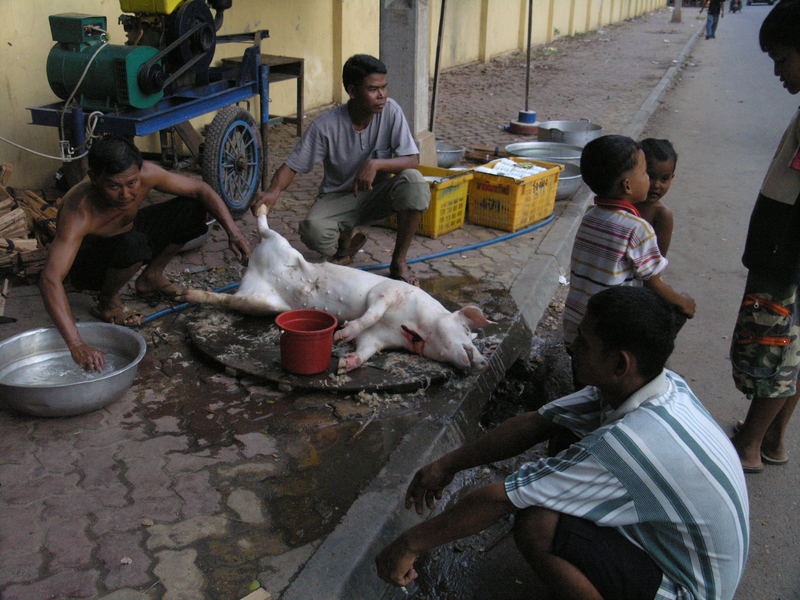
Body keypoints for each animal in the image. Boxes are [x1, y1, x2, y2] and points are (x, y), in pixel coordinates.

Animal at [179, 209, 494, 372]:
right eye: (467, 331)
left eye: (473, 336)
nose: (482, 362)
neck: (414, 326)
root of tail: (253, 266)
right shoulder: (386, 291)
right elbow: (369, 314)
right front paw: (341, 334)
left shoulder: (379, 339)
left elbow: (366, 349)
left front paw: (344, 363)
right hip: (280, 244)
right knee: (265, 227)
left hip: (263, 302)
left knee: (227, 299)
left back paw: (187, 295)